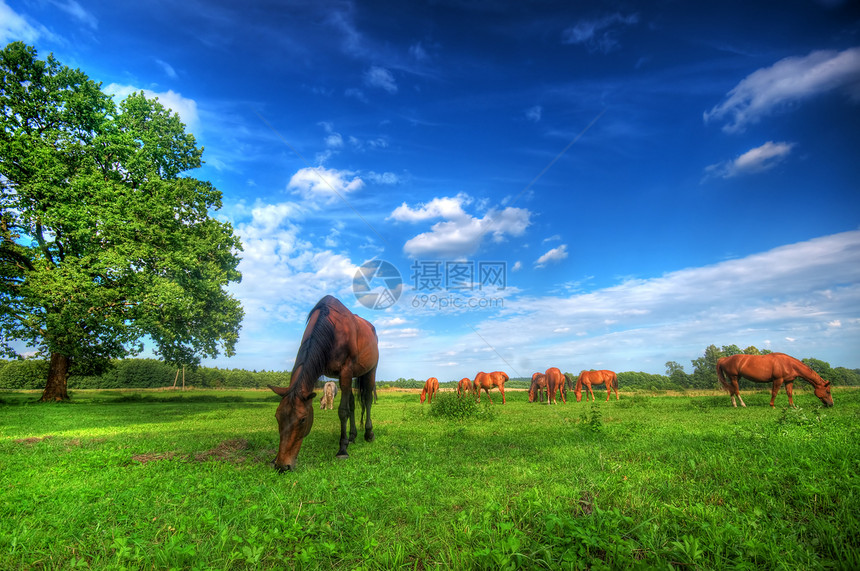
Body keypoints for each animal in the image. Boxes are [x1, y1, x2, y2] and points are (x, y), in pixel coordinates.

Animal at [268, 298, 378, 472]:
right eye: (277, 417)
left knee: (367, 400)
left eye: (303, 420)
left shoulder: (345, 372)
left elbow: (343, 411)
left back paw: (368, 434)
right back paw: (352, 436)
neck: (333, 329)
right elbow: (348, 408)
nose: (282, 465)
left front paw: (342, 449)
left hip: (370, 371)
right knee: (353, 404)